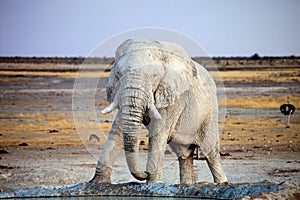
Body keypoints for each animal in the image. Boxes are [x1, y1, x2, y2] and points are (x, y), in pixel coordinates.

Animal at [91, 39, 227, 184]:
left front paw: (153, 183)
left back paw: (223, 183)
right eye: (118, 74)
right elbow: (118, 128)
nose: (145, 173)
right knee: (184, 156)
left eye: (154, 76)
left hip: (210, 112)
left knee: (210, 154)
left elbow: (158, 132)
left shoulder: (175, 96)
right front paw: (97, 182)